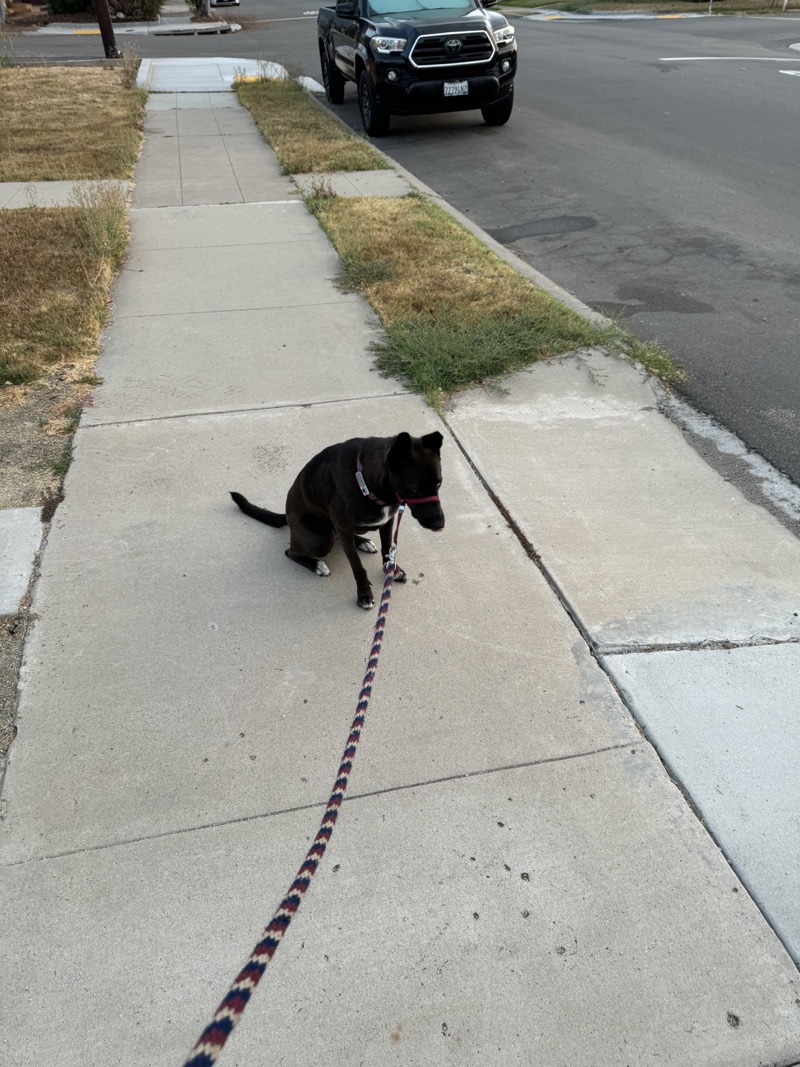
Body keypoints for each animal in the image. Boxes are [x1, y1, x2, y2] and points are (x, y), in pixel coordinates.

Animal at [230, 426, 445, 610]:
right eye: (414, 489)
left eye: (439, 484)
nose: (440, 525)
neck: (366, 482)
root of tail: (287, 514)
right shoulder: (345, 528)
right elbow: (358, 567)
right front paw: (364, 594)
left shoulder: (387, 521)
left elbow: (387, 549)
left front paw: (392, 568)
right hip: (320, 541)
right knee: (291, 551)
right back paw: (317, 565)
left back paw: (363, 541)